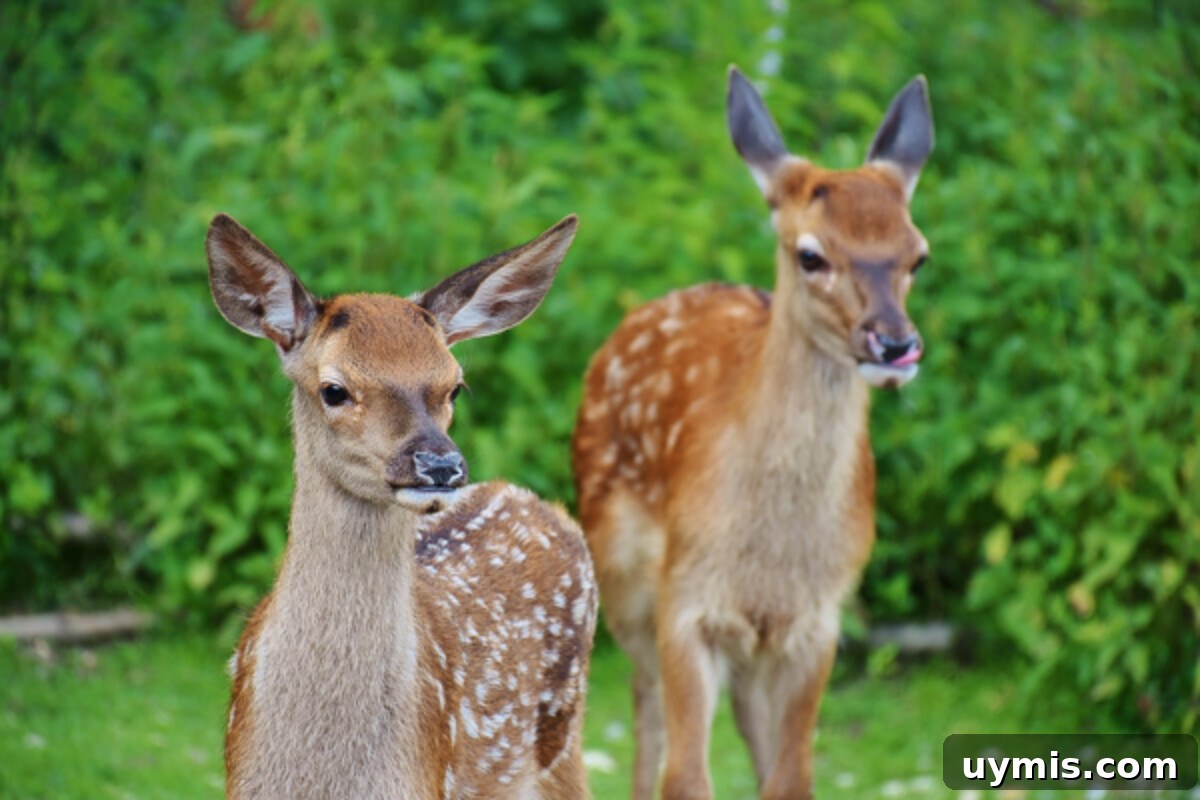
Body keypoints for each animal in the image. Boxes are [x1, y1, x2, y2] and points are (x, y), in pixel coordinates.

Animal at [571, 67, 934, 800]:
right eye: (811, 255)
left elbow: (792, 775)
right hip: (622, 576)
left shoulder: (817, 620)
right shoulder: (687, 602)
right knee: (647, 712)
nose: (894, 344)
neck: (770, 553)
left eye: (918, 256)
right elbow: (685, 775)